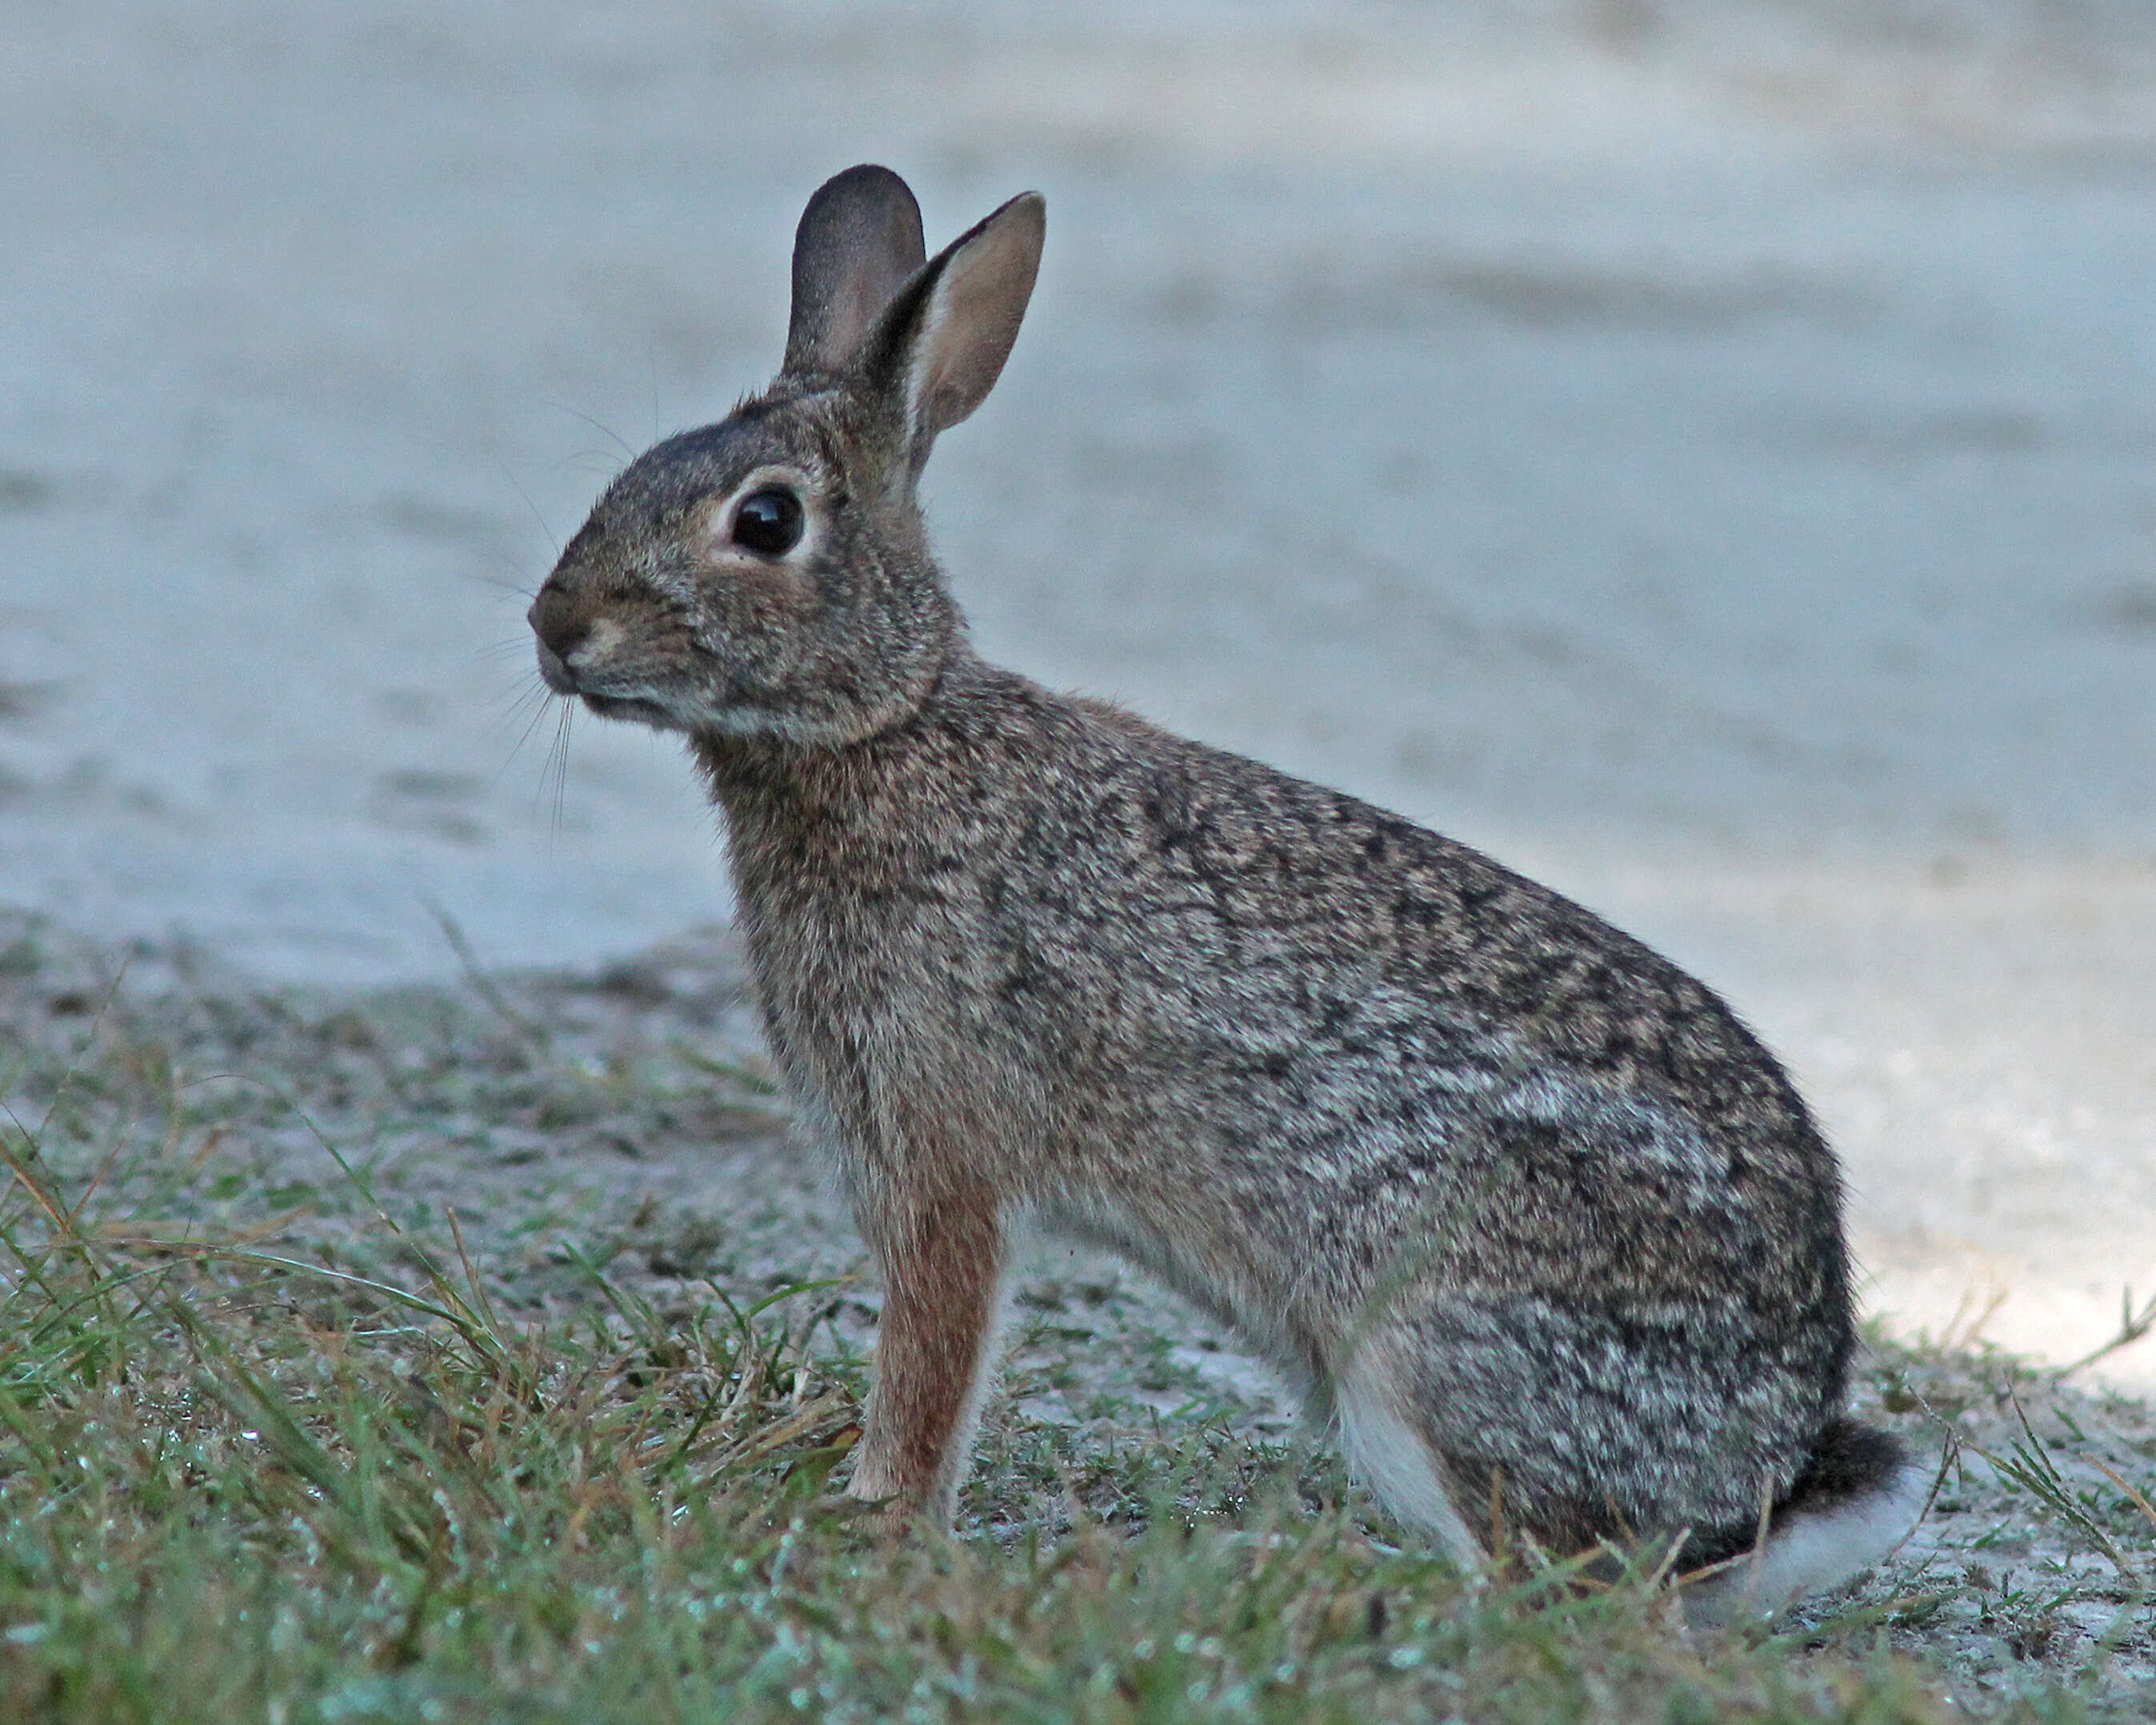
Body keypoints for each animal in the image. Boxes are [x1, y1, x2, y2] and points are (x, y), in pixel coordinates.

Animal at [530, 162, 1931, 1621]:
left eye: (764, 521)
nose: (554, 628)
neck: (886, 726)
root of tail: (1764, 1472)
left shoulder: (940, 1150)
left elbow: (932, 1353)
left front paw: (875, 1522)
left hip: (1428, 1339)